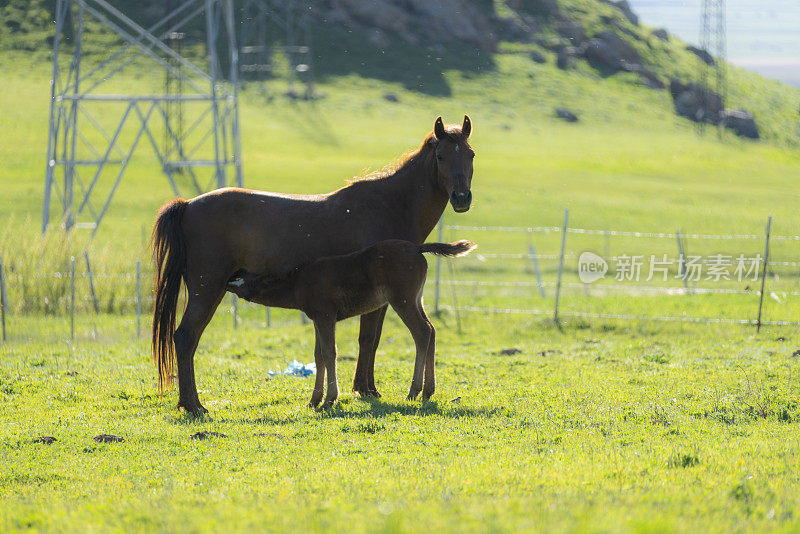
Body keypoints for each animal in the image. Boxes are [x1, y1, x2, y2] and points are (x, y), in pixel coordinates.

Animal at [228, 241, 476, 408]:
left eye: (239, 278)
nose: (226, 280)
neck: (299, 282)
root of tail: (417, 248)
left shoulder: (325, 315)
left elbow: (329, 352)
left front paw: (329, 399)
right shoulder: (317, 318)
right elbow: (318, 354)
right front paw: (314, 400)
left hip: (402, 300)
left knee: (422, 332)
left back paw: (414, 391)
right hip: (416, 299)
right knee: (431, 330)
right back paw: (428, 390)